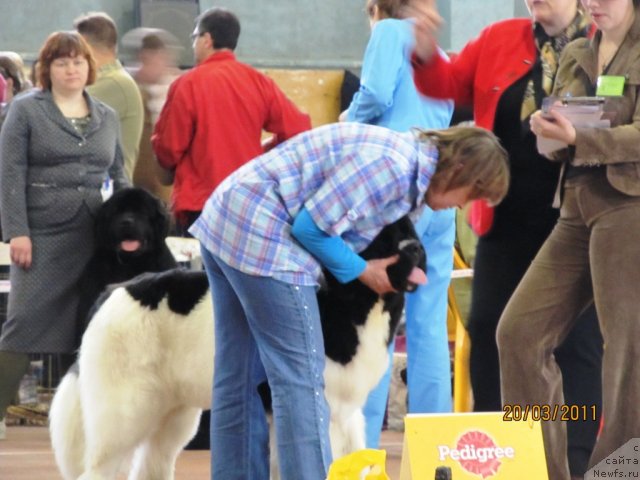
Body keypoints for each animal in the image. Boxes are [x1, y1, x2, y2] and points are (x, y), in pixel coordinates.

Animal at [50, 216, 424, 478]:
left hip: (174, 412)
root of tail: (113, 291)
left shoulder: (347, 412)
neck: (353, 298)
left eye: (410, 231)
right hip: (125, 410)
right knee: (100, 467)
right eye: (384, 237)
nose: (417, 250)